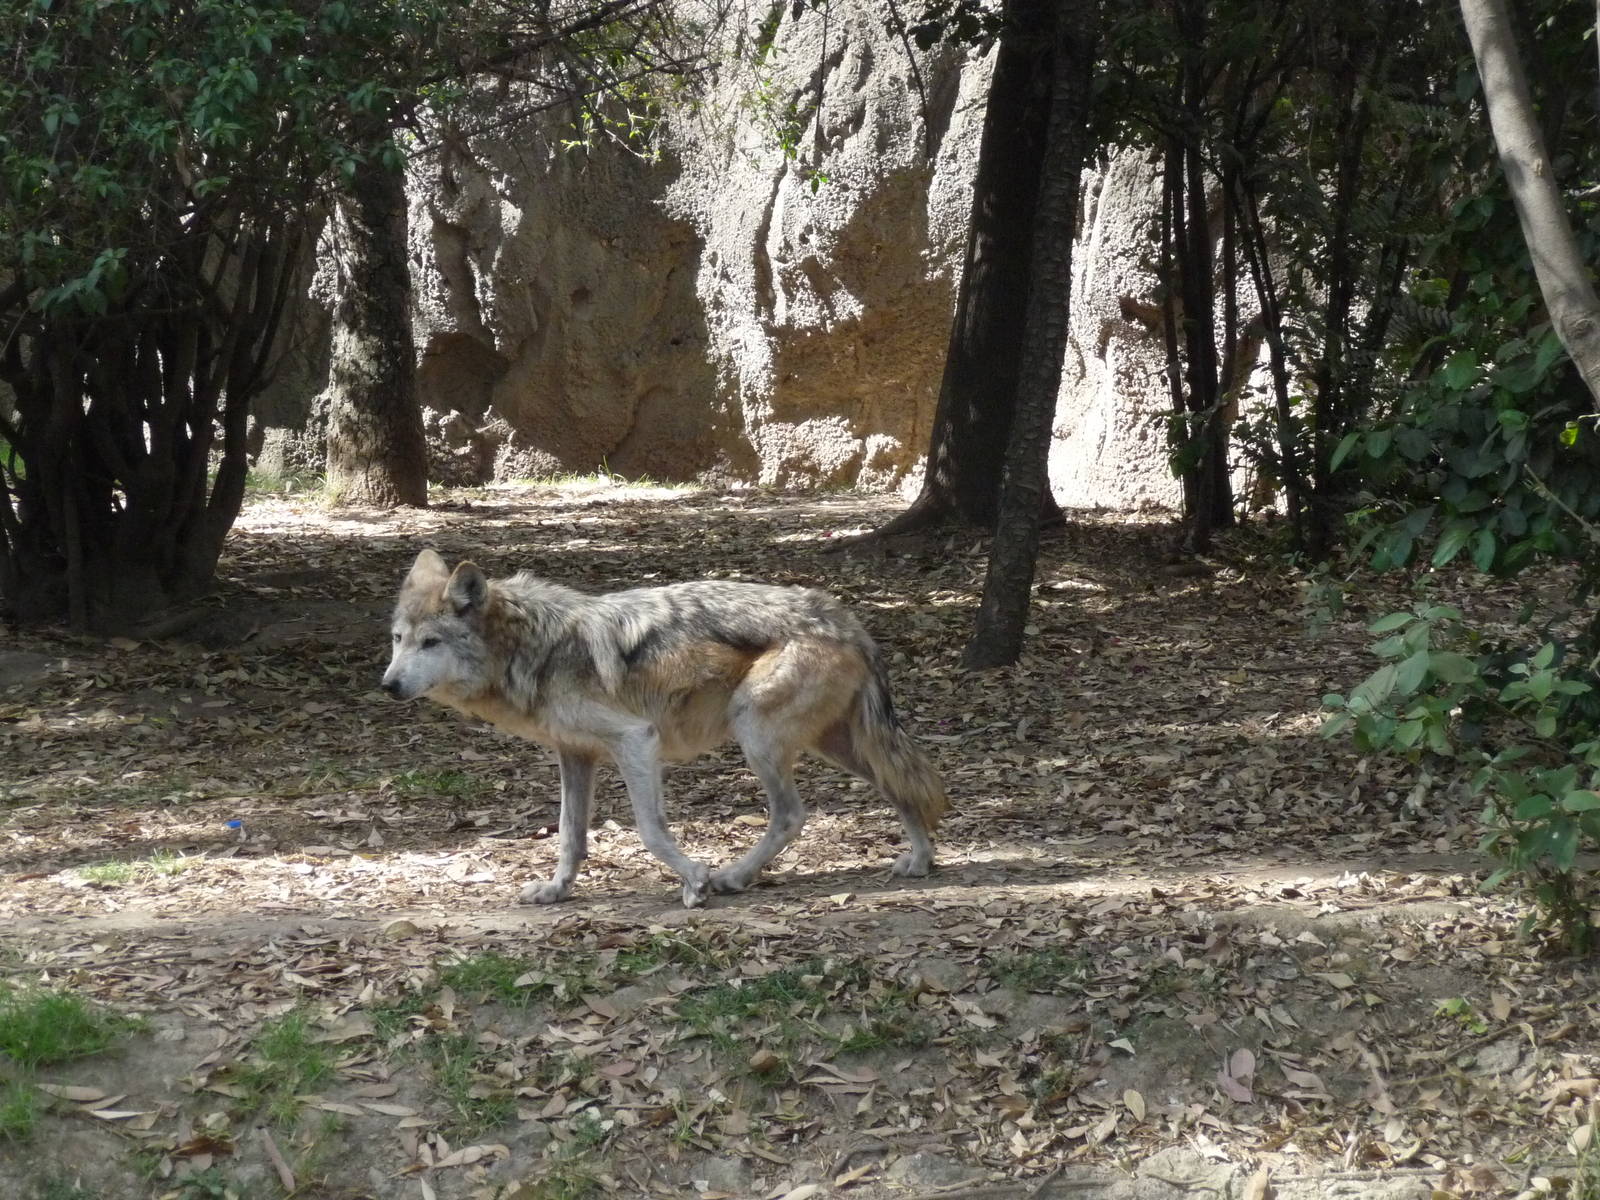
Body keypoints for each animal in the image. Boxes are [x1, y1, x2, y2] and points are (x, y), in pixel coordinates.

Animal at [381, 549, 948, 908]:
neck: (533, 646)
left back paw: (733, 876)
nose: (387, 685)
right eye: (398, 639)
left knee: (791, 815)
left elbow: (651, 831)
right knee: (900, 785)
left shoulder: (636, 741)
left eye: (431, 643)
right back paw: (920, 861)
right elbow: (569, 835)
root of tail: (844, 617)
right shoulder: (575, 754)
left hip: (756, 735)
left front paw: (695, 880)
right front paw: (556, 891)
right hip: (836, 744)